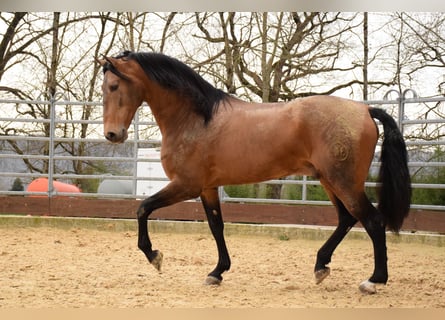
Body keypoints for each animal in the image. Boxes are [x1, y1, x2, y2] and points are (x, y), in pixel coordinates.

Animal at [97, 50, 410, 296]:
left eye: (113, 86)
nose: (112, 134)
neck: (196, 119)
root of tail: (365, 110)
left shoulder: (186, 185)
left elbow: (143, 208)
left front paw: (154, 256)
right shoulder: (207, 188)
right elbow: (216, 227)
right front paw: (217, 272)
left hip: (343, 182)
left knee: (372, 221)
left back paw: (373, 281)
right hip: (329, 181)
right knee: (346, 219)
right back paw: (321, 266)